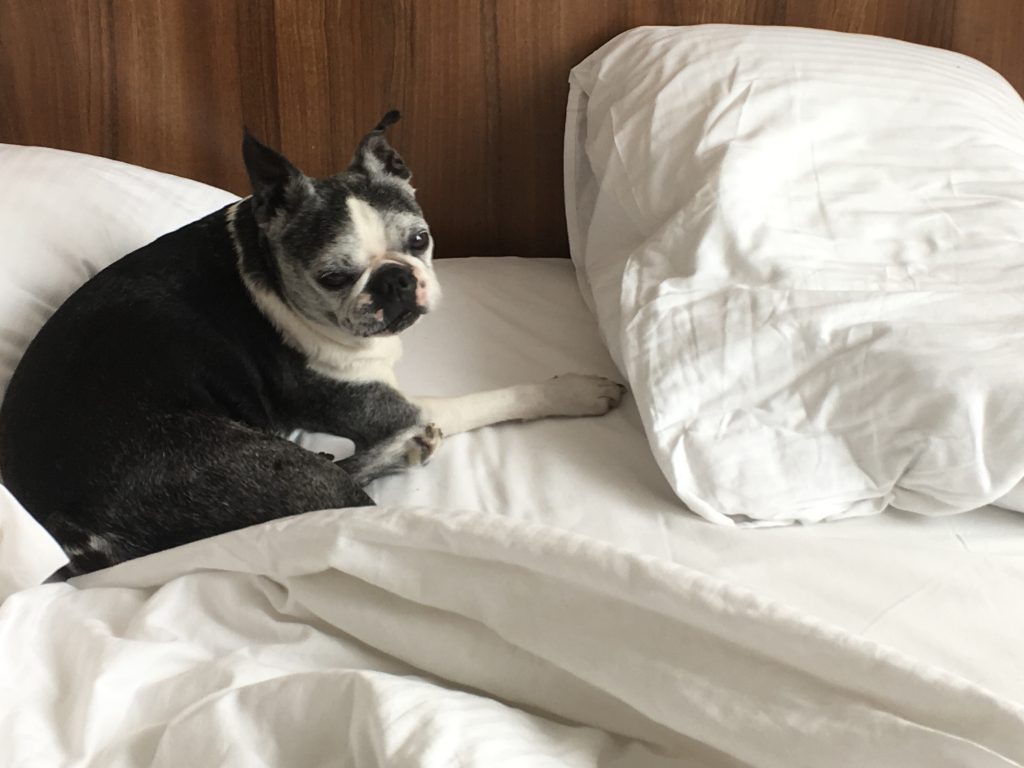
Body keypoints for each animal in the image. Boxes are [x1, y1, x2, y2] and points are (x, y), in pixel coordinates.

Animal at [0, 112, 625, 576]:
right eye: (332, 276)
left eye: (420, 241)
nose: (395, 280)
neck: (266, 266)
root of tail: (73, 533)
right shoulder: (389, 407)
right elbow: (494, 398)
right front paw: (576, 390)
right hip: (288, 483)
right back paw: (408, 448)